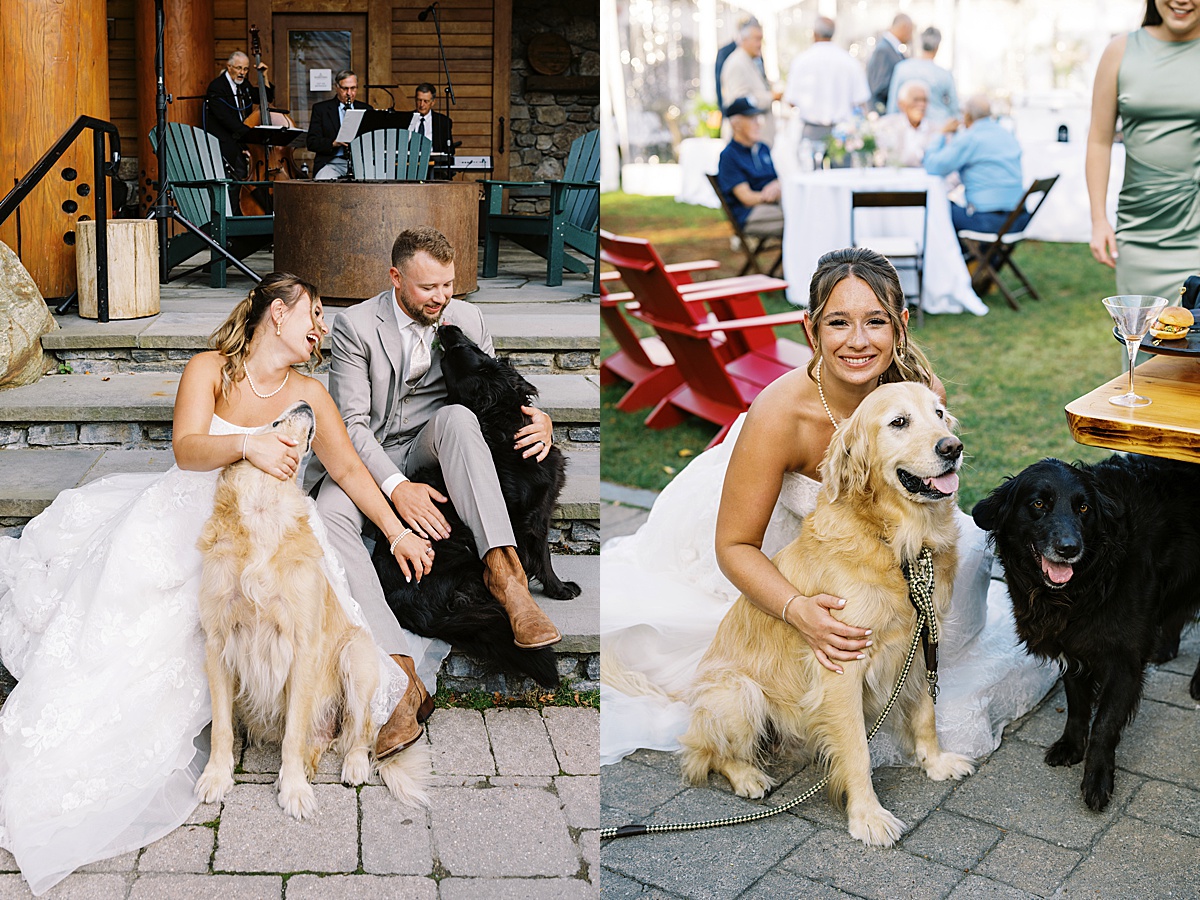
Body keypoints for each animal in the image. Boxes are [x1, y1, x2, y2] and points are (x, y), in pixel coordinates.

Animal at [372, 328, 583, 686]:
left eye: (462, 348)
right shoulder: (530, 514)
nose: (448, 329)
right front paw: (556, 590)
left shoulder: (541, 512)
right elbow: (540, 555)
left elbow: (543, 554)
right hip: (462, 546)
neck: (503, 423)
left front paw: (556, 588)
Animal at [969, 453, 1200, 816]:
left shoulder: (1124, 662)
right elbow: (1077, 705)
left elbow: (1104, 724)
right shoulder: (1072, 649)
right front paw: (1071, 746)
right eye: (1038, 503)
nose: (1068, 548)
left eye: (1083, 508)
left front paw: (1097, 780)